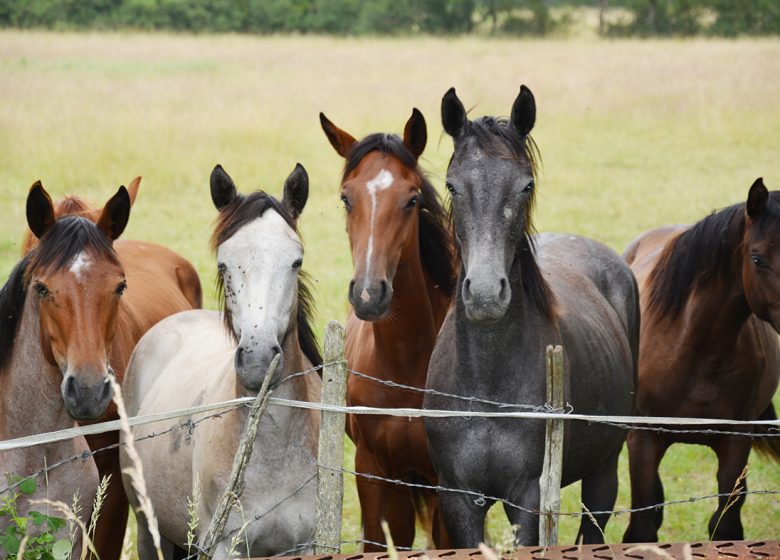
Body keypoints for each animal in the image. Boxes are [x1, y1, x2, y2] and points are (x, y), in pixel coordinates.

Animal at [120, 163, 322, 560]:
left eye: (296, 261)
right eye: (224, 264)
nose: (258, 360)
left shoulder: (303, 545)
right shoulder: (224, 546)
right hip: (148, 527)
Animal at [426, 87, 640, 548]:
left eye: (526, 185)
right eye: (452, 185)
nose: (485, 294)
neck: (487, 389)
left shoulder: (526, 497)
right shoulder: (457, 497)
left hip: (604, 471)